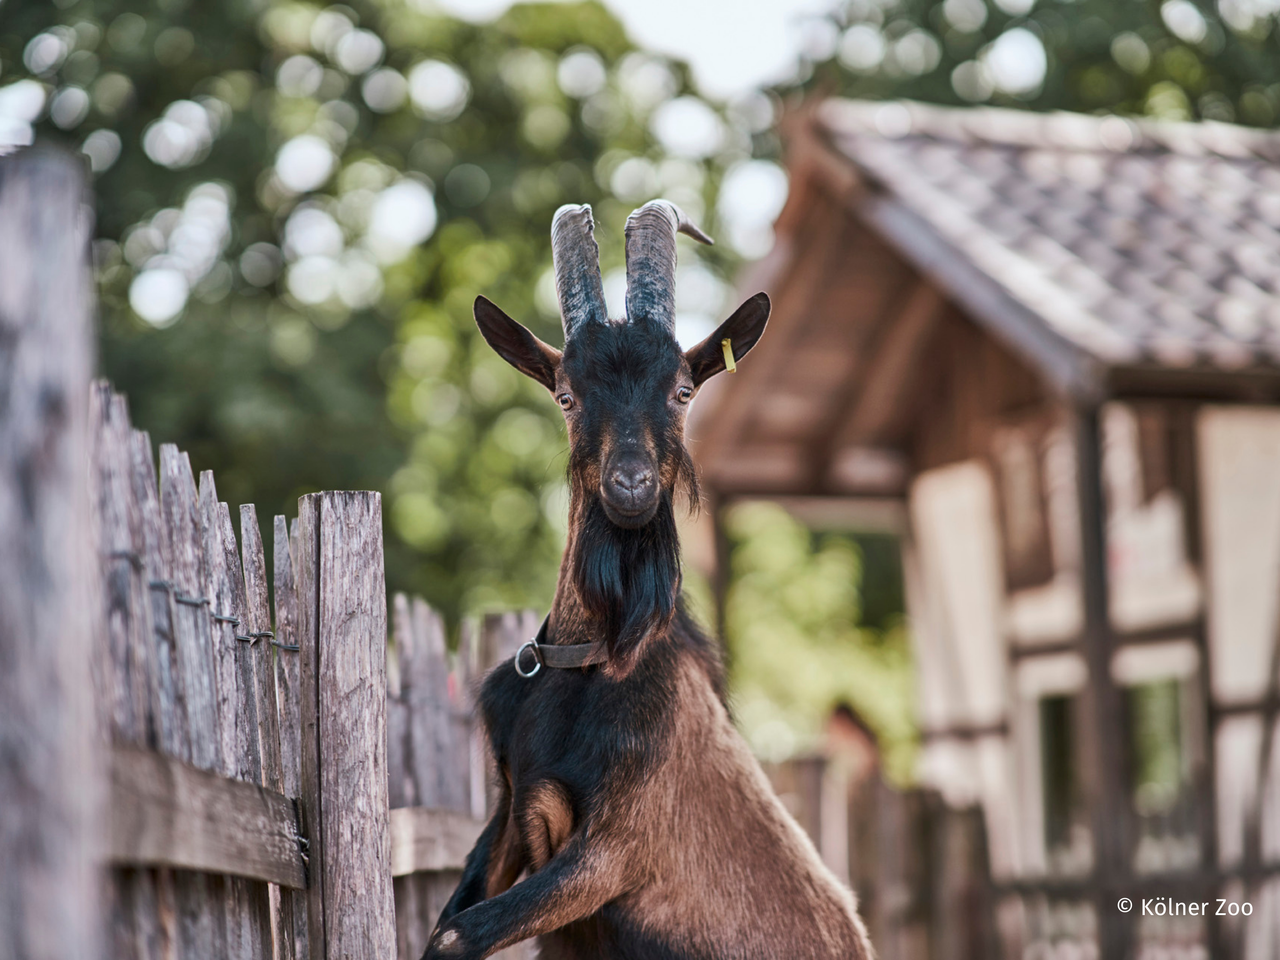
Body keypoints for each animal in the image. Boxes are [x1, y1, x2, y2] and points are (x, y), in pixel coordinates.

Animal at [424, 200, 875, 960]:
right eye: (567, 396)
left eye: (684, 390)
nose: (630, 485)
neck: (590, 659)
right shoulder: (509, 815)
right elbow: (445, 923)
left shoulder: (616, 849)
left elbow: (454, 936)